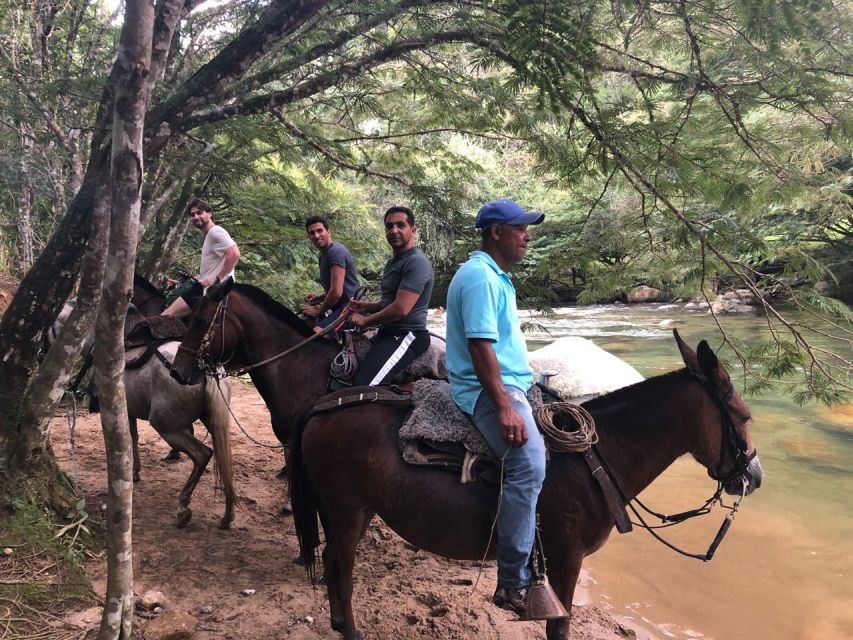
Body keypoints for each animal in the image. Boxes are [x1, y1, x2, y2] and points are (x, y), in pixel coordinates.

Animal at [290, 332, 764, 636]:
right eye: (744, 417)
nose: (755, 476)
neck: (595, 458)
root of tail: (321, 407)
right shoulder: (565, 559)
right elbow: (560, 626)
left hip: (352, 512)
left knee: (332, 564)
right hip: (346, 511)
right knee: (342, 574)